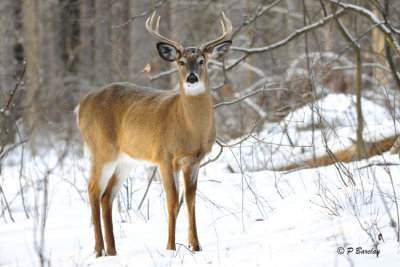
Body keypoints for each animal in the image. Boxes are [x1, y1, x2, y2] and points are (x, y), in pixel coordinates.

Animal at [76, 12, 231, 258]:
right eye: (181, 62)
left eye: (202, 61)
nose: (192, 78)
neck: (190, 129)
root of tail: (80, 105)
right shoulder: (165, 156)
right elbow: (172, 201)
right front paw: (170, 246)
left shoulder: (194, 160)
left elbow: (190, 201)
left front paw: (195, 245)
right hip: (102, 149)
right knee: (93, 190)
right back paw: (99, 250)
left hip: (125, 160)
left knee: (106, 195)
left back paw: (112, 251)